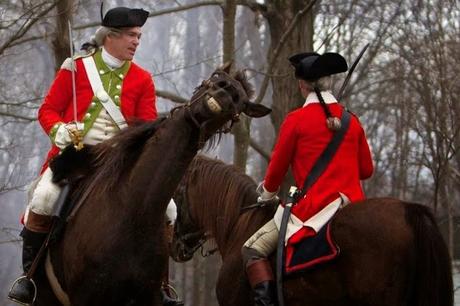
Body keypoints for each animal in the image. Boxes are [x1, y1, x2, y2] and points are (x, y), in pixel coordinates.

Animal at [31, 65, 270, 306]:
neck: (133, 209)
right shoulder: (87, 297)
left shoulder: (149, 296)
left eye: (240, 102)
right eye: (215, 77)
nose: (225, 91)